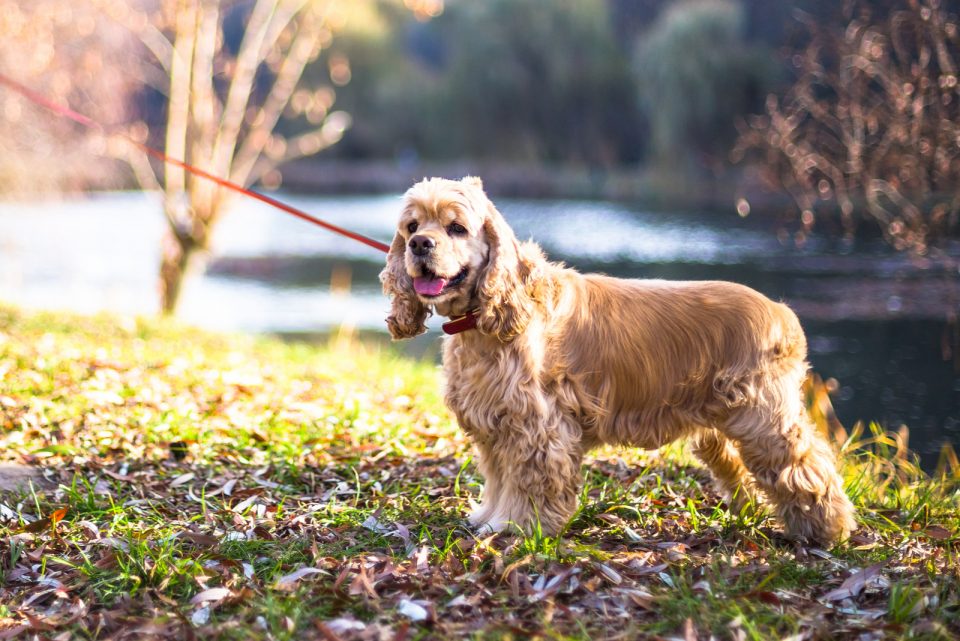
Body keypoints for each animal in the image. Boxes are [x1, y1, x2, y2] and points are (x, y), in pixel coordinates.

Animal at [378, 176, 860, 544]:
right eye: (412, 224)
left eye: (457, 228)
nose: (419, 244)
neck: (485, 320)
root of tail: (782, 313)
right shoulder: (494, 424)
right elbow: (499, 479)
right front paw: (489, 518)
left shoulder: (537, 427)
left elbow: (531, 484)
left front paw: (520, 527)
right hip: (721, 429)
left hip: (764, 419)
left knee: (807, 468)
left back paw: (828, 532)